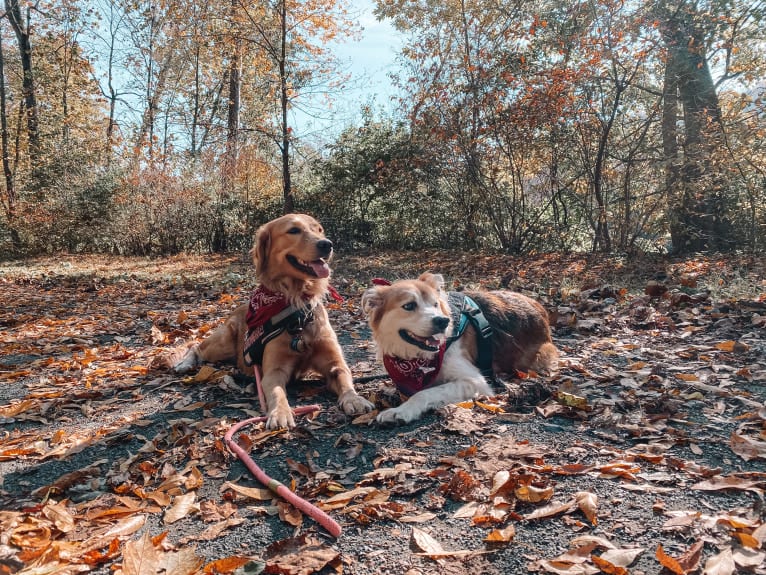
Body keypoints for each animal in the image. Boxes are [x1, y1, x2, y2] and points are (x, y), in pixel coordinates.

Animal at [175, 214, 378, 430]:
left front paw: (354, 399)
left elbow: (344, 377)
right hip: (223, 342)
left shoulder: (334, 362)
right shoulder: (274, 371)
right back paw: (184, 363)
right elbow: (277, 392)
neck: (298, 309)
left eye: (319, 229)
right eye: (293, 230)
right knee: (196, 346)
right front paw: (280, 413)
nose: (327, 244)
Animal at [362, 272, 560, 426]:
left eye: (435, 304)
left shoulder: (475, 381)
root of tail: (540, 307)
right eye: (409, 305)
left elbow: (424, 393)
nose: (443, 321)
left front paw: (402, 411)